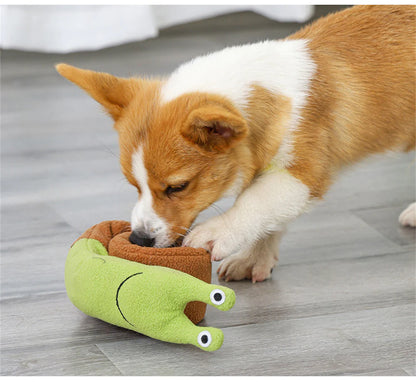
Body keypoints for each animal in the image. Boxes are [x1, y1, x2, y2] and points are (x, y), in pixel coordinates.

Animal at [56, 4, 416, 282]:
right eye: (134, 185)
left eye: (178, 187)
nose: (139, 239)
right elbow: (269, 217)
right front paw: (254, 258)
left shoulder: (301, 174)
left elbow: (254, 202)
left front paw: (219, 232)